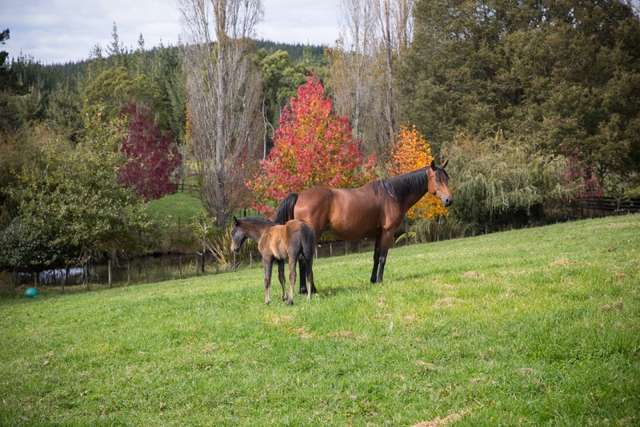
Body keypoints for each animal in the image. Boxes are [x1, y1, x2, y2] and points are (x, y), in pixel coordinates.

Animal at [274, 160, 450, 290]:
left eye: (447, 178)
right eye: (437, 179)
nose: (449, 200)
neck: (392, 194)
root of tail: (299, 196)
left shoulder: (379, 233)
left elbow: (375, 256)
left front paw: (372, 280)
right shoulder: (388, 232)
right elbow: (382, 257)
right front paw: (379, 281)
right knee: (304, 260)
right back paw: (309, 290)